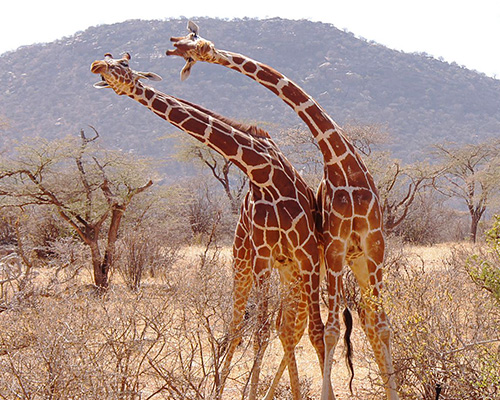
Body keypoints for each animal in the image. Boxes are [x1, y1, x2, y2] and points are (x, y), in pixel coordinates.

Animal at [91, 53, 328, 400]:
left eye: (122, 63)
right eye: (107, 64)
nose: (98, 65)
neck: (261, 171)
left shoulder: (305, 254)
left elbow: (300, 331)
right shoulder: (263, 255)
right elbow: (260, 332)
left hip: (291, 270)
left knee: (287, 329)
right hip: (245, 261)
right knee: (243, 326)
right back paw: (225, 388)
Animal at [166, 21, 400, 400]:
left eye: (197, 44)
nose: (174, 49)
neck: (342, 163)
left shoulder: (373, 242)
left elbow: (379, 325)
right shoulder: (332, 245)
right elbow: (327, 329)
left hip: (349, 262)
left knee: (351, 321)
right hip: (261, 262)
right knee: (264, 324)